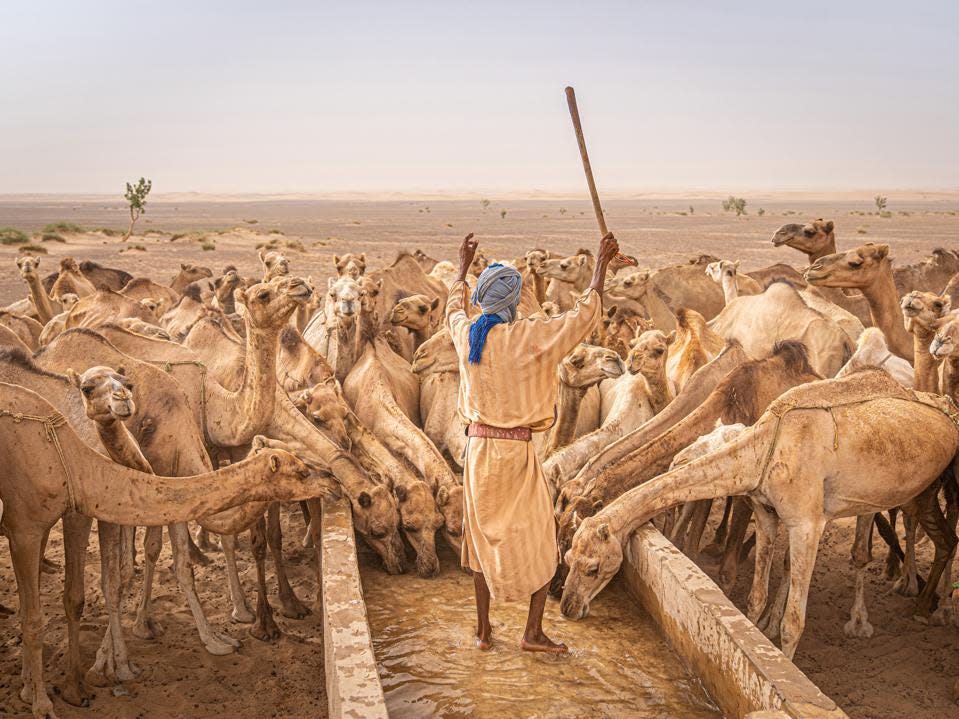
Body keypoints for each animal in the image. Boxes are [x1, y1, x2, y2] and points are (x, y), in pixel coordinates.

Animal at [0, 382, 334, 719]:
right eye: (302, 471)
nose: (331, 479)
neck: (70, 462)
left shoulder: (53, 516)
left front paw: (30, 688)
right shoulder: (25, 527)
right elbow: (38, 616)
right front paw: (48, 700)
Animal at [564, 372, 959, 660]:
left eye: (592, 568)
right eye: (568, 556)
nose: (566, 605)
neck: (765, 449)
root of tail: (945, 403)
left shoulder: (806, 524)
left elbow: (794, 621)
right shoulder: (767, 513)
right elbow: (754, 597)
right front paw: (758, 637)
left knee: (941, 536)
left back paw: (929, 609)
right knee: (941, 538)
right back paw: (923, 606)